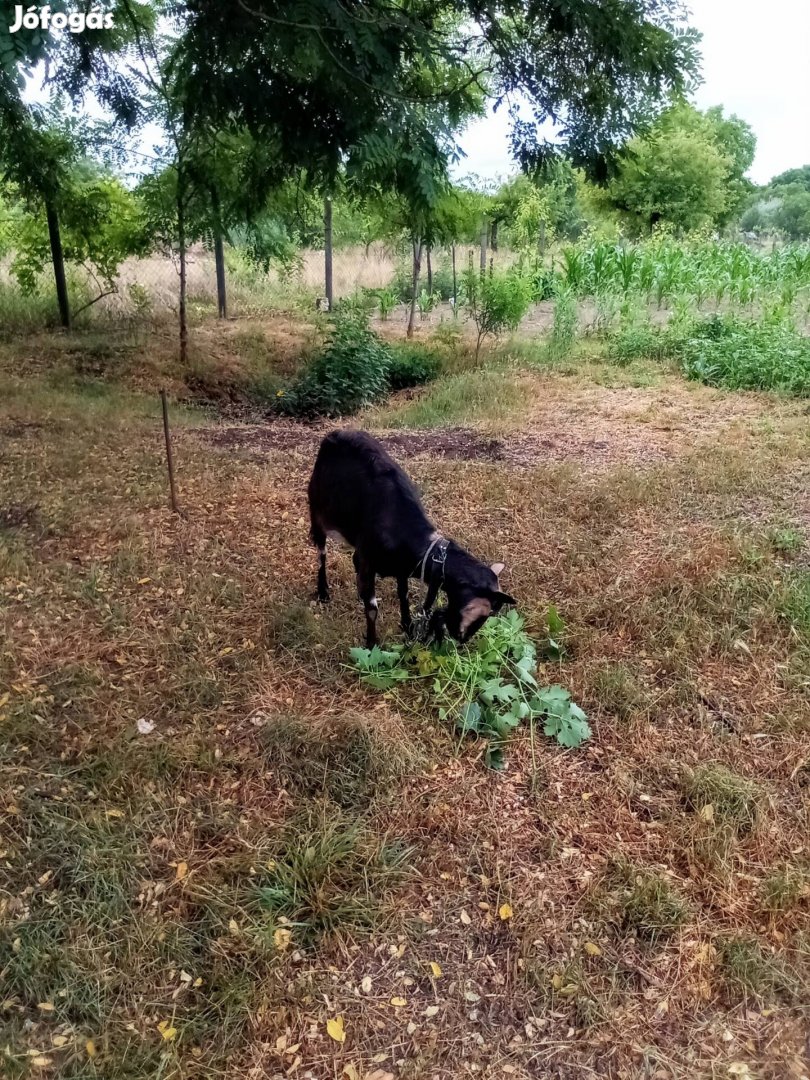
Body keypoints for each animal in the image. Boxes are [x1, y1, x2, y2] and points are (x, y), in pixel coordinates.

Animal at [306, 432, 516, 648]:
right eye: (483, 611)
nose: (461, 639)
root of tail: (334, 434)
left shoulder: (400, 567)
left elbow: (403, 594)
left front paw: (408, 628)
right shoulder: (370, 560)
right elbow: (372, 609)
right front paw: (372, 645)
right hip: (317, 510)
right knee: (321, 552)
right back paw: (323, 592)